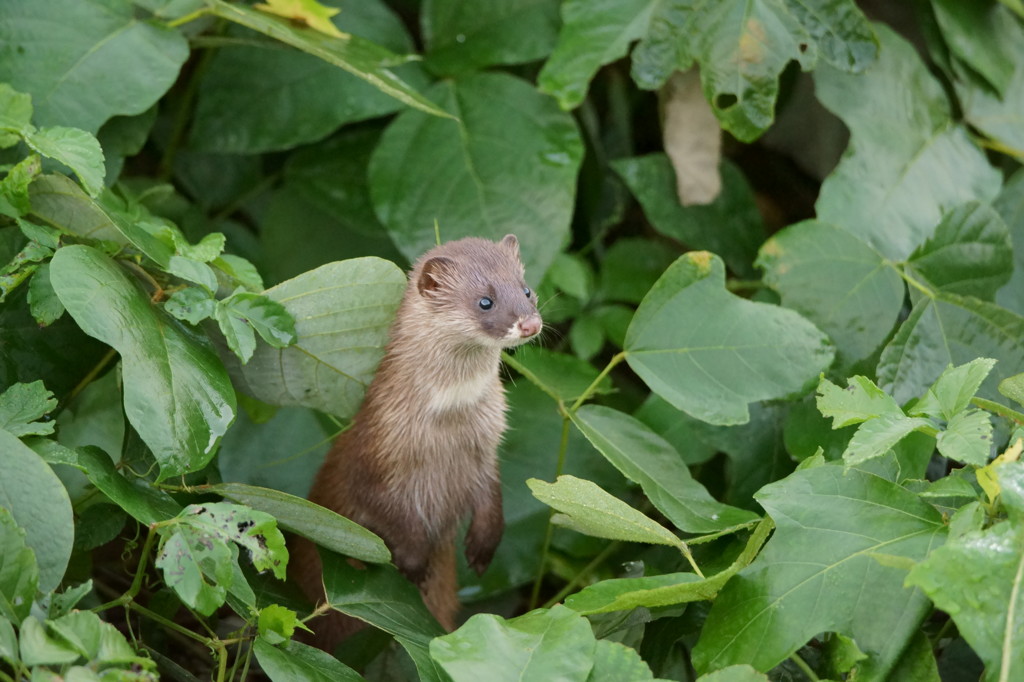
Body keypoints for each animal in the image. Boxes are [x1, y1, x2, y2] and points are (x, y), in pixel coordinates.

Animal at [290, 235, 544, 647]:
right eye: (484, 300)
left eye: (526, 290)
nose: (531, 323)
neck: (449, 429)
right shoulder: (376, 453)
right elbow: (384, 510)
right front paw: (411, 563)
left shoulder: (486, 447)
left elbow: (491, 494)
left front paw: (482, 546)